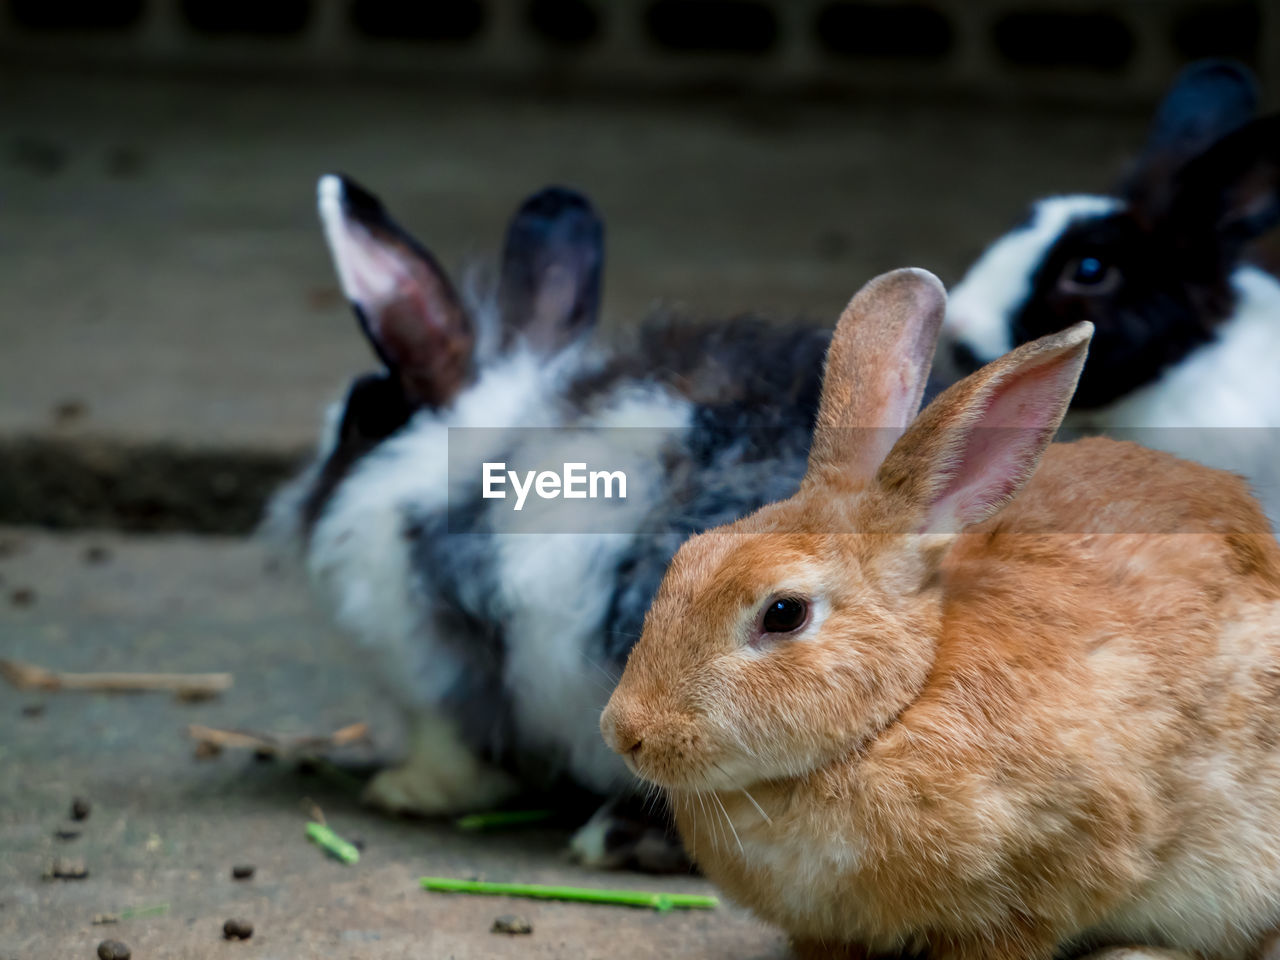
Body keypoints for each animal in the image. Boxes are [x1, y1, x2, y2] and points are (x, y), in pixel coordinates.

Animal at [268, 172, 829, 870]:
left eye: (362, 419)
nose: (295, 504)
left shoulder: (436, 666)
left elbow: (451, 748)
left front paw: (403, 791)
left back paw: (610, 838)